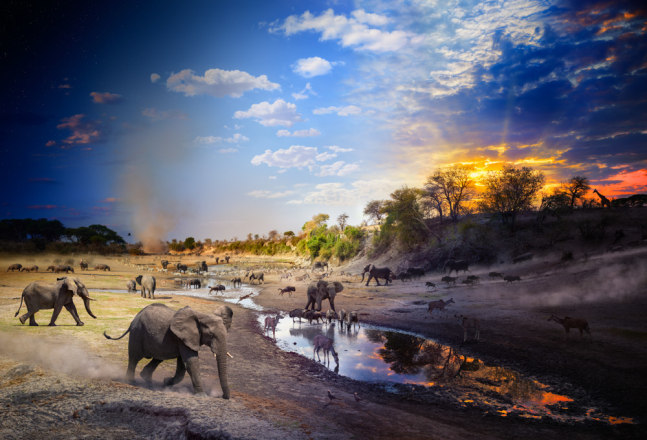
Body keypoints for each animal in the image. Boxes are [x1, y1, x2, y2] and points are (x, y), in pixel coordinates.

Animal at [105, 304, 237, 398]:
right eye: (210, 335)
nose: (223, 396)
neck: (201, 316)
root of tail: (134, 319)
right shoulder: (184, 337)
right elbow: (191, 362)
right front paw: (202, 396)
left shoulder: (184, 339)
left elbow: (182, 366)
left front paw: (166, 382)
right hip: (137, 333)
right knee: (134, 357)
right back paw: (131, 382)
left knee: (158, 358)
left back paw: (149, 382)